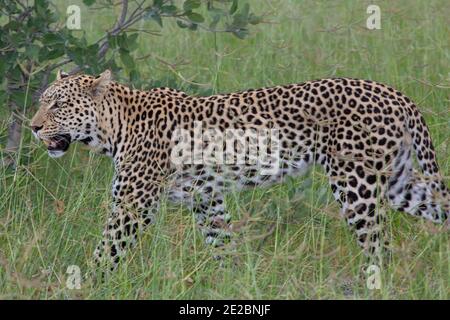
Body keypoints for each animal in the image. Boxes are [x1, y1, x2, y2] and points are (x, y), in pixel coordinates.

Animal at [29, 70, 448, 270]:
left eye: (58, 105)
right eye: (42, 102)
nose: (33, 127)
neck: (112, 129)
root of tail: (394, 92)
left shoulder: (133, 206)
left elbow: (105, 253)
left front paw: (87, 285)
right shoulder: (207, 201)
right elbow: (223, 247)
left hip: (356, 184)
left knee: (378, 247)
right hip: (398, 182)